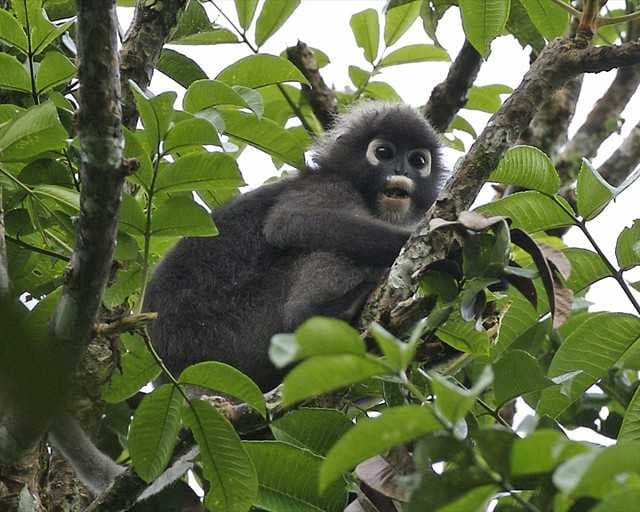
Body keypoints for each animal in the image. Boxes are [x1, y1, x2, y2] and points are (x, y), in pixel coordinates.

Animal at [49, 101, 448, 495]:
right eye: (383, 153)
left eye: (418, 160)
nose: (400, 170)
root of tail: (175, 376)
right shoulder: (329, 186)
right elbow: (294, 221)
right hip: (239, 330)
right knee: (313, 250)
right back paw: (329, 310)